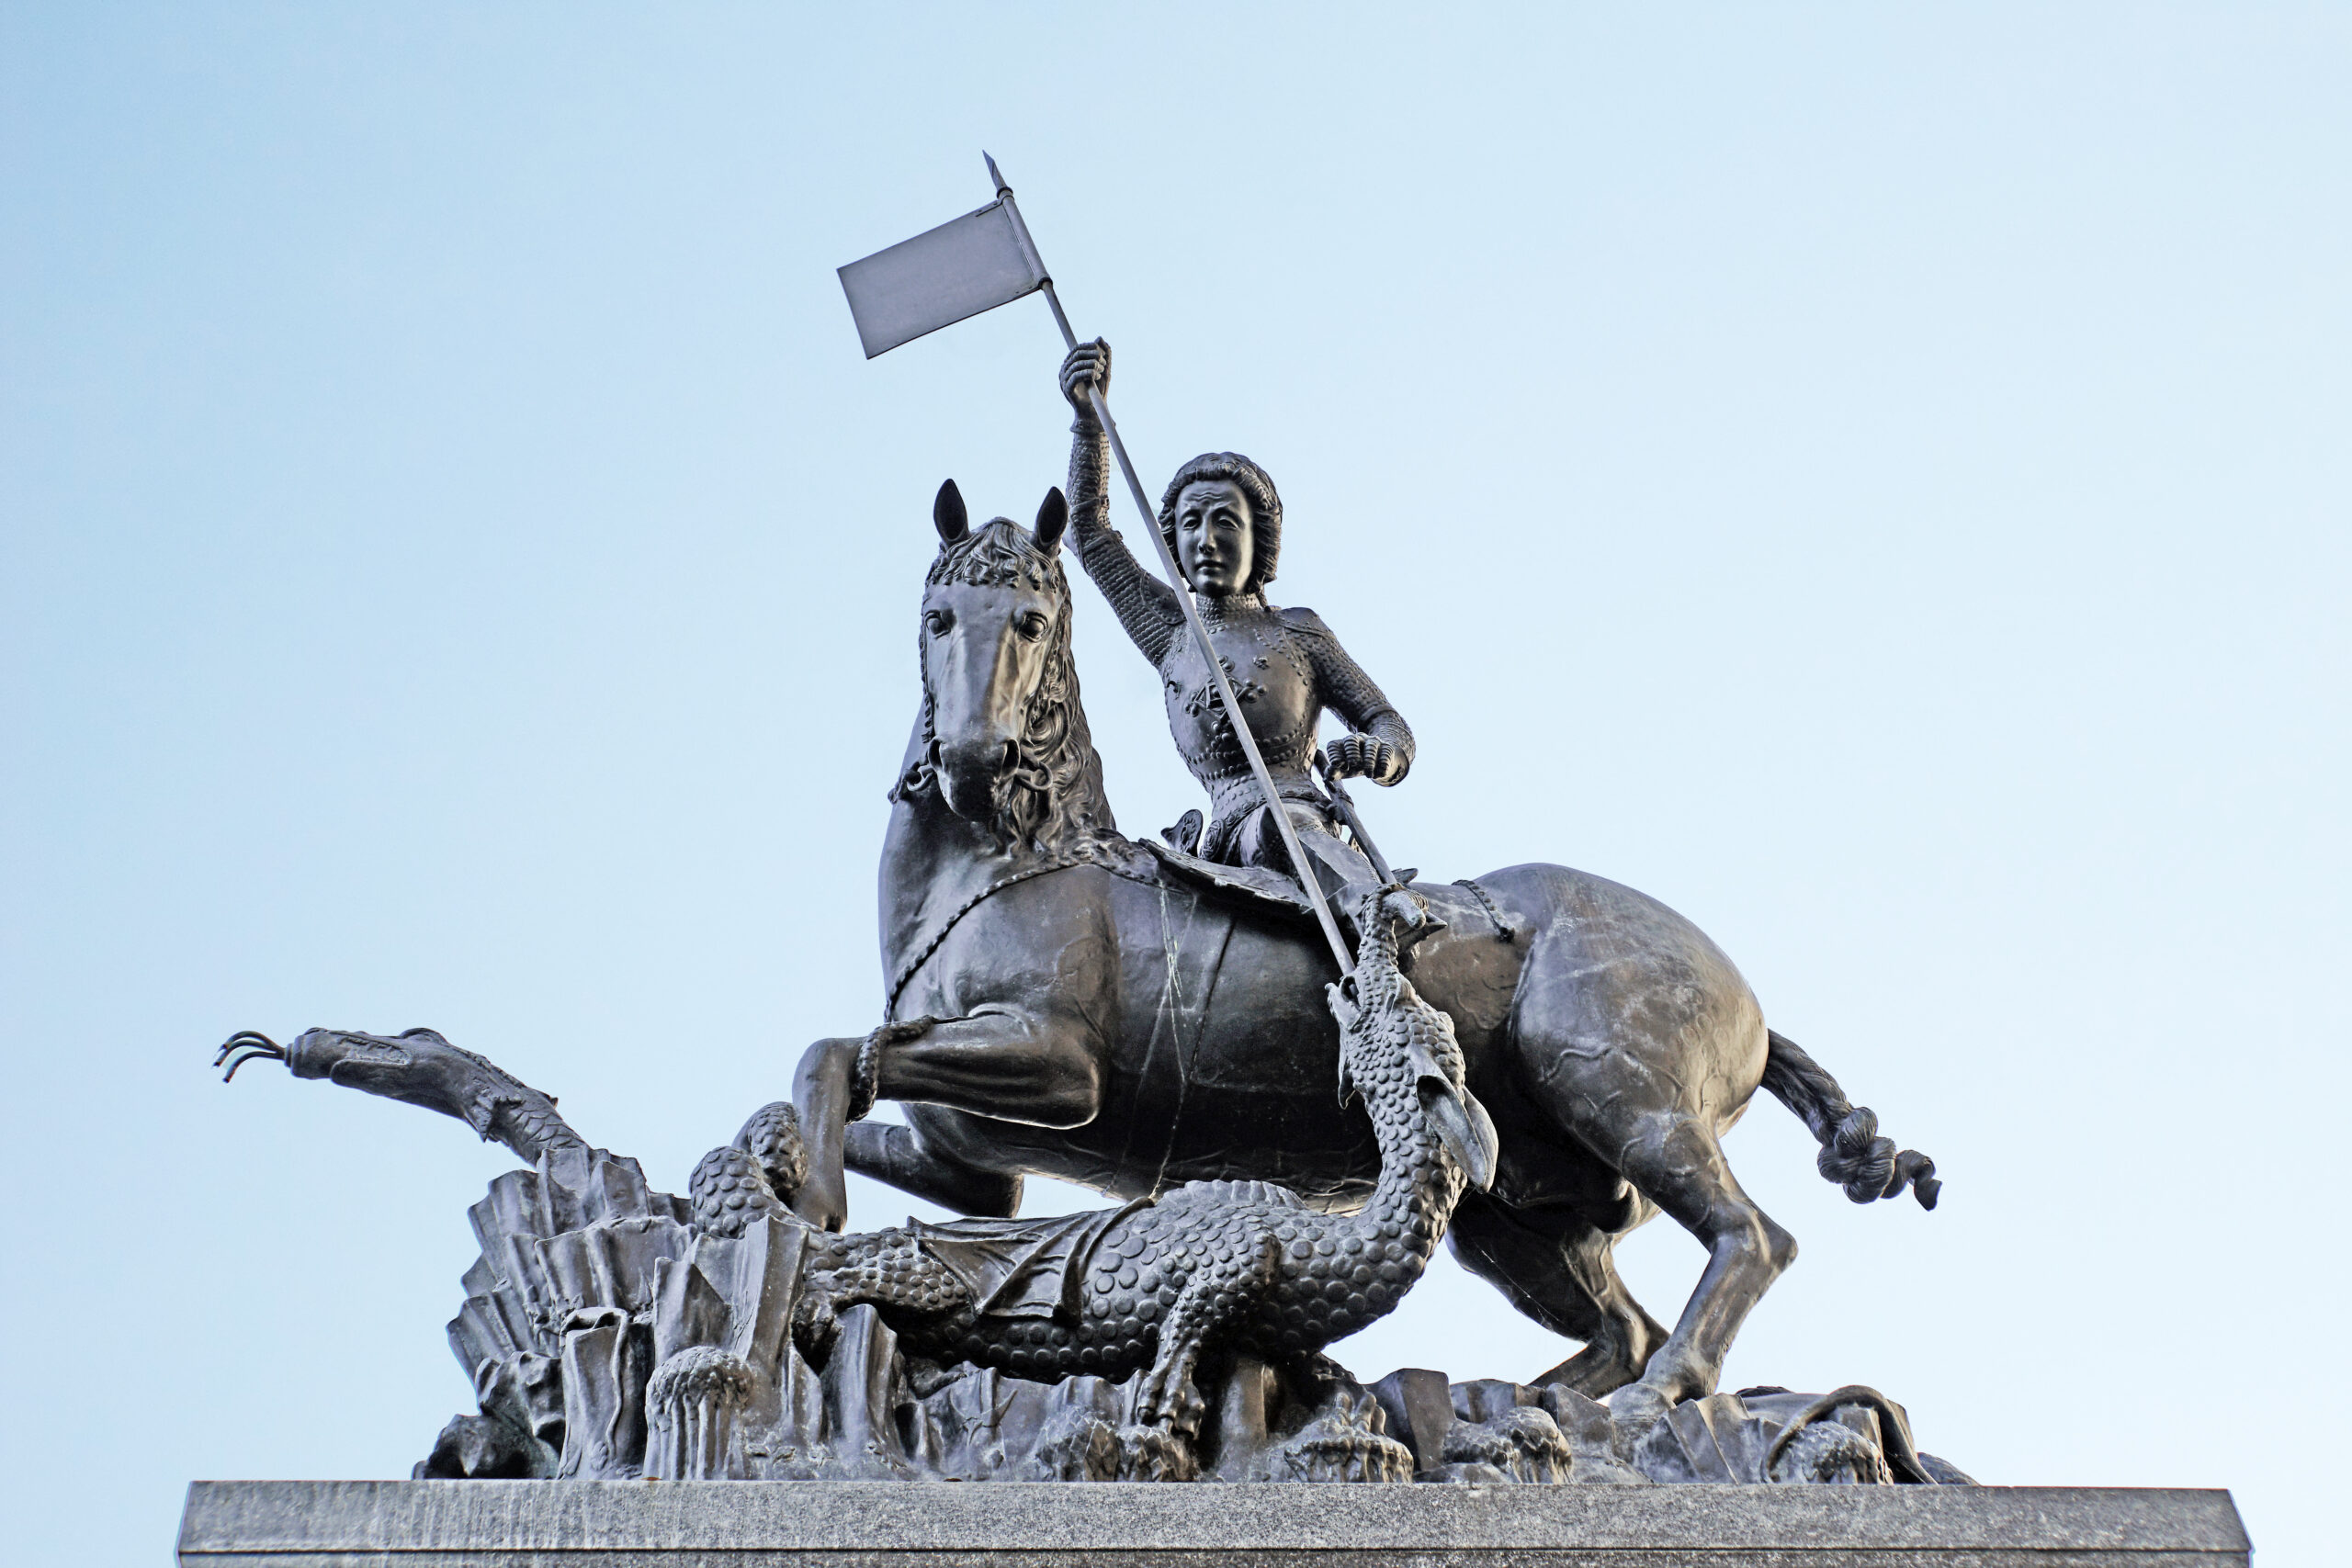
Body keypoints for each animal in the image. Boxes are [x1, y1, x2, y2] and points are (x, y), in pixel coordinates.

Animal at [790, 484, 1928, 1419]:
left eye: (1028, 620)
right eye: (937, 617)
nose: (974, 760)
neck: (1009, 863)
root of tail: (1746, 1000)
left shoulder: (1054, 1066)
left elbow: (832, 1056)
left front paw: (813, 1212)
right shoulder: (973, 1165)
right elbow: (835, 1089)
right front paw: (792, 1187)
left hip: (1622, 1099)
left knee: (1749, 1240)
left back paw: (1658, 1394)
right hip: (1518, 1215)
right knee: (1621, 1327)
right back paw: (1526, 1403)